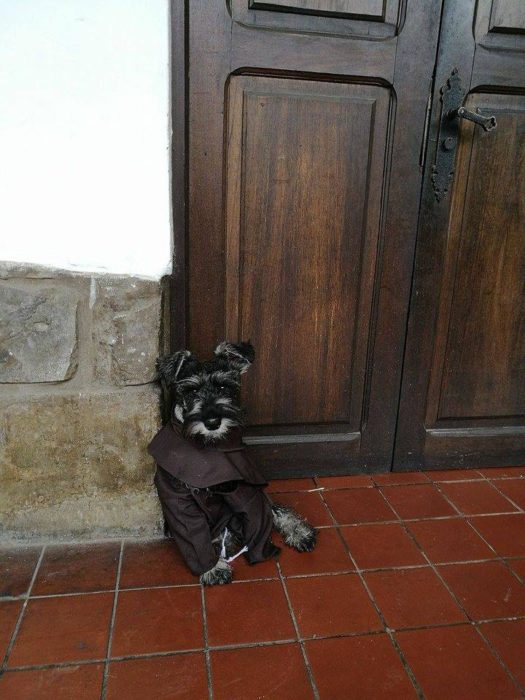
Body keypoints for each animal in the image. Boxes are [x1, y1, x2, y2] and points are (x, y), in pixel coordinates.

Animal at [147, 340, 318, 584]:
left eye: (223, 387)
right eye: (192, 391)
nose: (212, 421)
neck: (210, 448)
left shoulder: (244, 488)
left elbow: (260, 516)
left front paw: (261, 550)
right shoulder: (177, 499)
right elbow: (194, 536)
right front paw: (212, 568)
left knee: (276, 509)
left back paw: (299, 532)